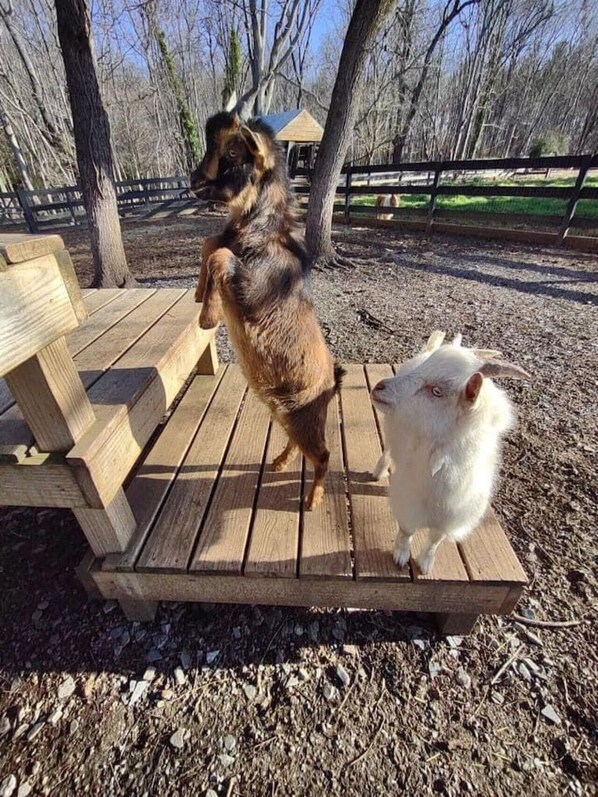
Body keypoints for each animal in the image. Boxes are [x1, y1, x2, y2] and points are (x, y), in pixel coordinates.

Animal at [189, 112, 344, 510]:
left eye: (233, 151)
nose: (194, 181)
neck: (261, 236)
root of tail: (332, 383)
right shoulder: (226, 245)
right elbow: (210, 243)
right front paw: (199, 296)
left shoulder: (252, 291)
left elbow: (219, 254)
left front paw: (208, 317)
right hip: (284, 414)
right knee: (298, 444)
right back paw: (278, 462)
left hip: (305, 418)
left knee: (324, 456)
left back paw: (312, 499)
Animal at [371, 332, 529, 574]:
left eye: (437, 391)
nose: (379, 387)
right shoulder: (408, 501)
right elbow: (406, 530)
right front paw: (401, 555)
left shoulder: (452, 516)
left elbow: (435, 540)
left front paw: (425, 563)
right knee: (388, 450)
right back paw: (378, 471)